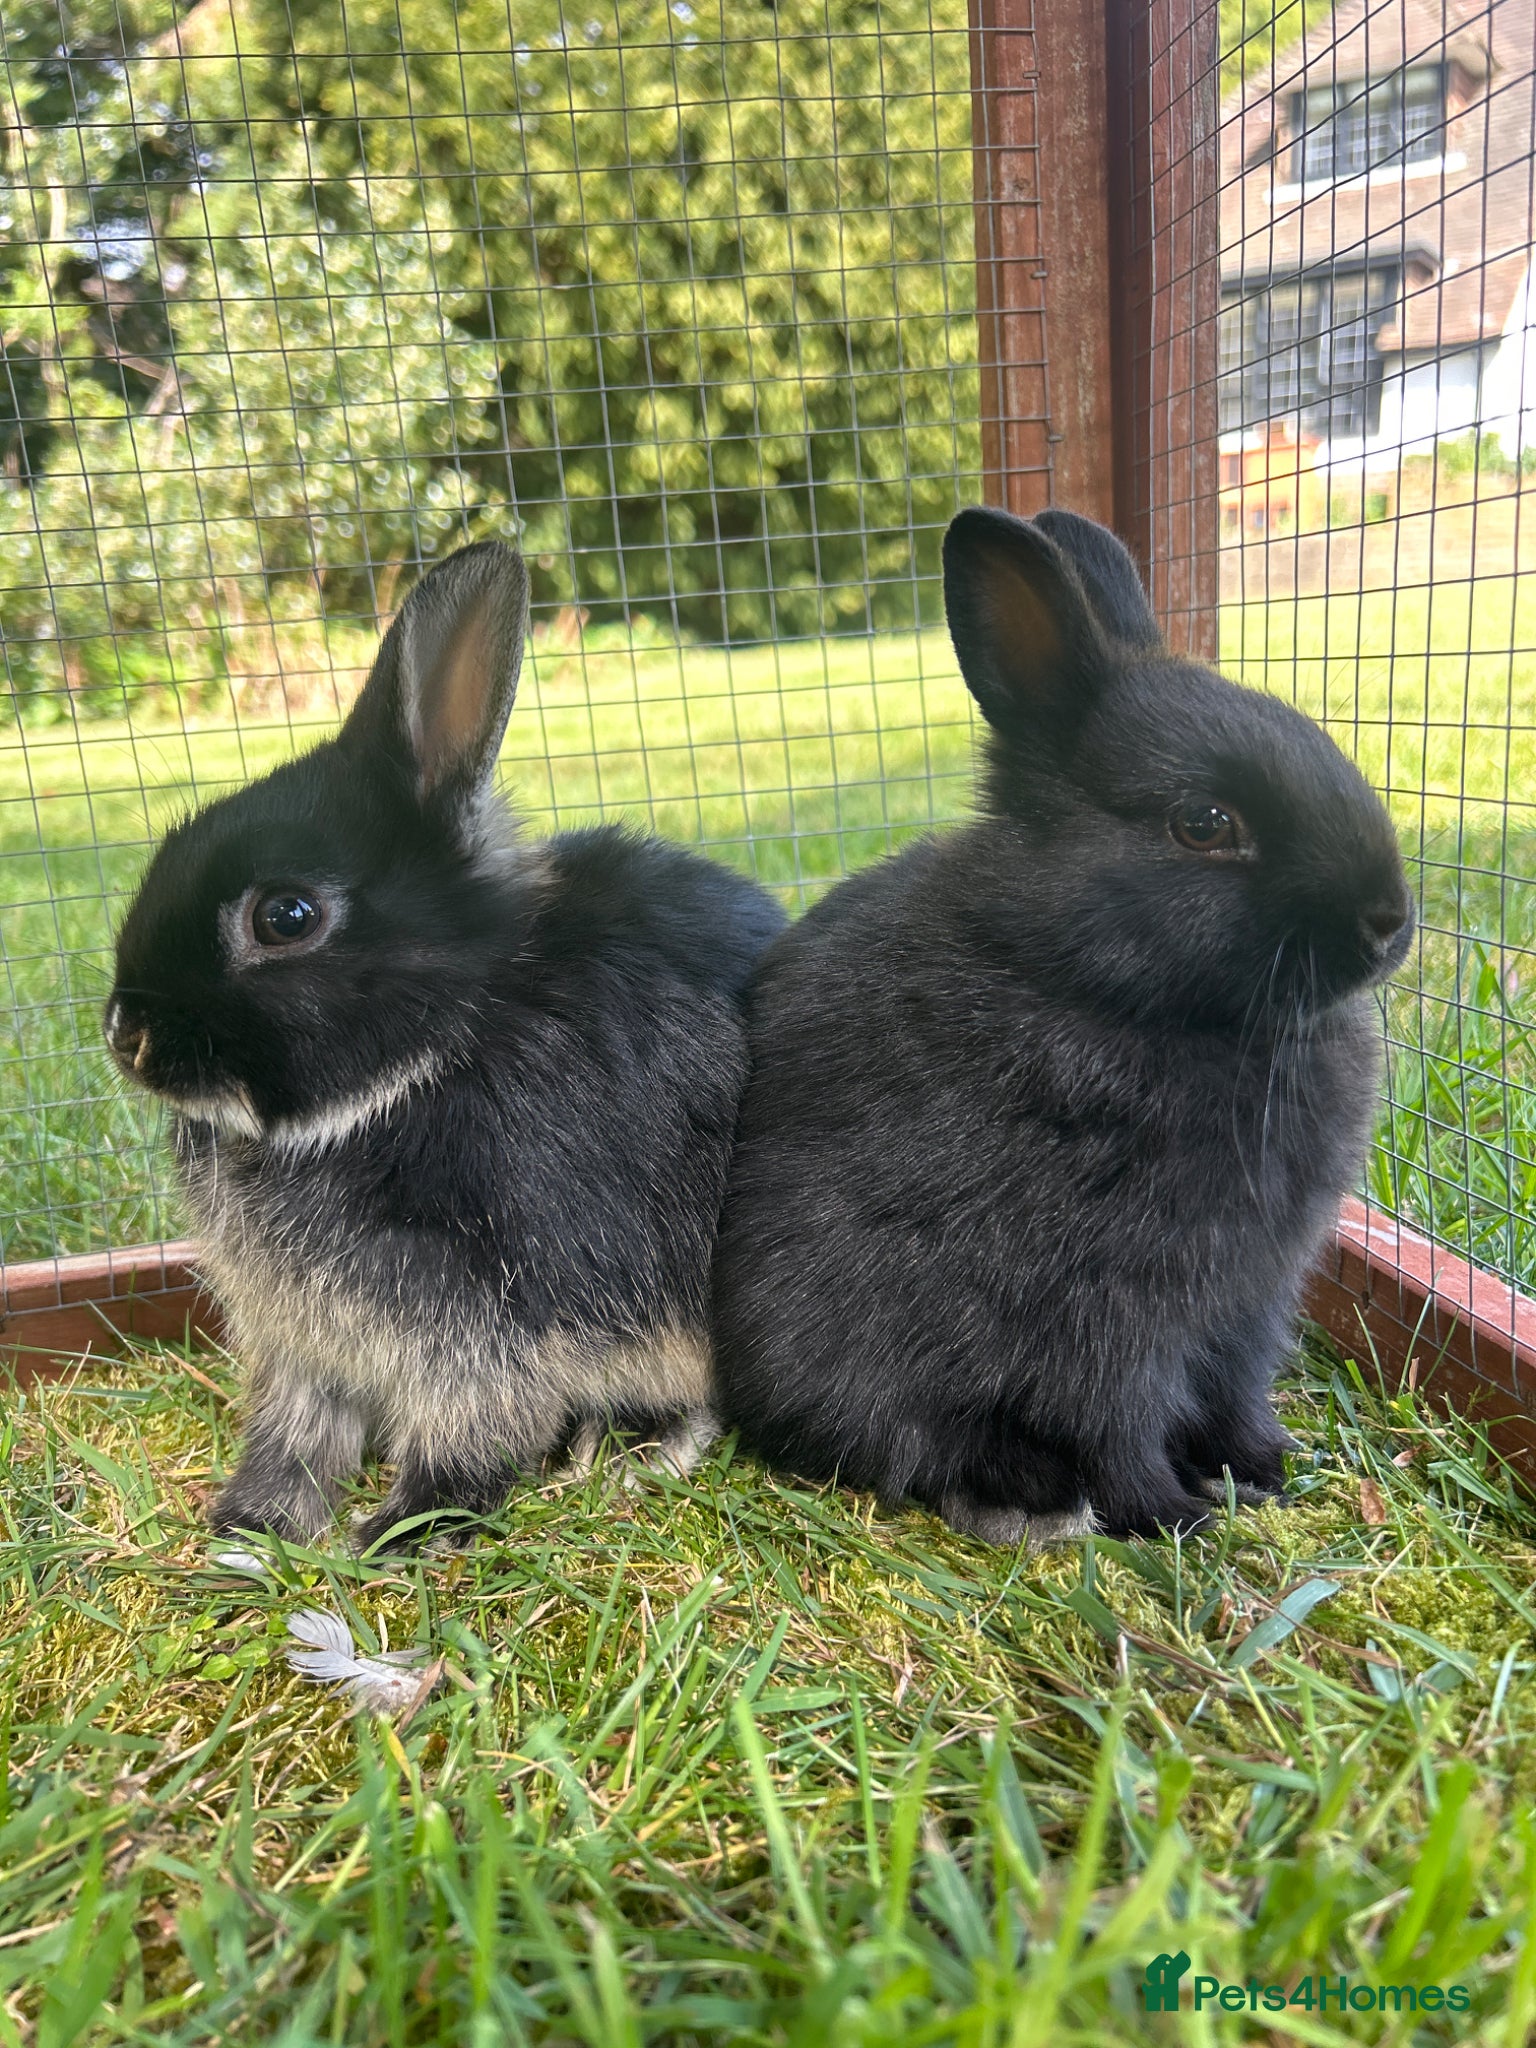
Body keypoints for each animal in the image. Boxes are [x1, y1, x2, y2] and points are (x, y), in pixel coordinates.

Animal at [104, 540, 785, 1551]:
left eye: (285, 917)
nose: (126, 1035)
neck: (424, 1058)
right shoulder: (304, 1343)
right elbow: (298, 1426)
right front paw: (253, 1526)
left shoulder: (482, 1320)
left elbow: (474, 1422)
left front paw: (404, 1529)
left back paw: (628, 1446)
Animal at [711, 505, 1414, 1543]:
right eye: (1205, 823)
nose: (1389, 921)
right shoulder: (1101, 1302)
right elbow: (1116, 1415)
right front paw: (1172, 1516)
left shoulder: (1248, 1300)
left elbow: (1236, 1390)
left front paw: (1268, 1468)